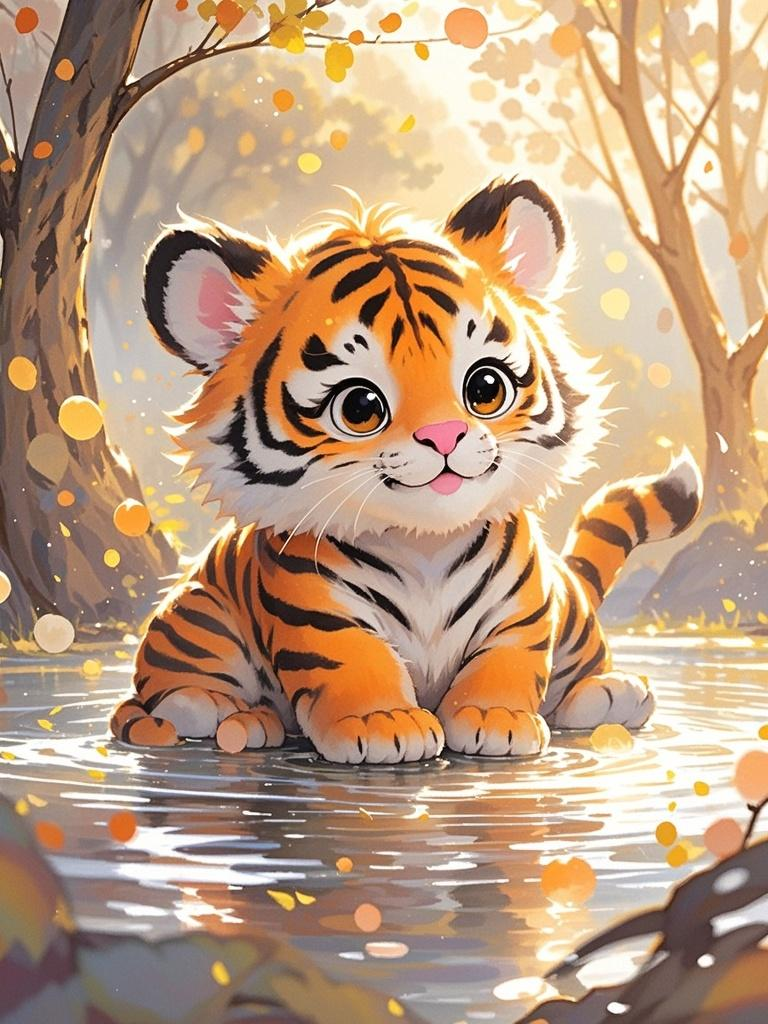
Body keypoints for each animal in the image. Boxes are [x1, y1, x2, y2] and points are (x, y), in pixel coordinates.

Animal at [109, 177, 702, 763]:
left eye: (486, 387)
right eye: (360, 406)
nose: (445, 435)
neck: (425, 546)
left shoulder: (521, 610)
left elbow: (508, 660)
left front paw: (496, 718)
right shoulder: (318, 613)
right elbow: (354, 660)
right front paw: (384, 724)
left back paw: (612, 694)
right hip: (196, 615)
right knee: (167, 689)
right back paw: (220, 711)